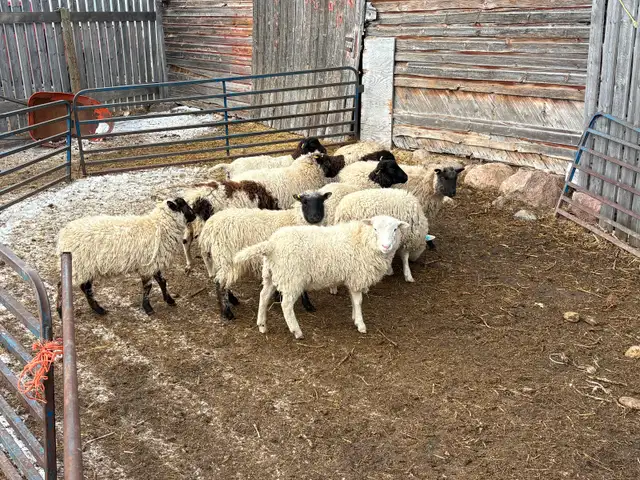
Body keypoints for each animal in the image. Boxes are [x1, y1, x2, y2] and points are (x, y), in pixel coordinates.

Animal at [55, 198, 196, 316]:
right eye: (183, 205)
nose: (194, 215)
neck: (160, 226)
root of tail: (63, 236)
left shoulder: (153, 262)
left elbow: (162, 281)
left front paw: (169, 300)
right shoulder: (147, 265)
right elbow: (148, 287)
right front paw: (148, 308)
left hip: (86, 266)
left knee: (85, 287)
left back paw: (98, 309)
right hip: (78, 264)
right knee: (63, 285)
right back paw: (61, 312)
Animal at [198, 191, 332, 321]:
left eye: (321, 201)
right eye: (304, 202)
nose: (315, 217)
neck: (294, 219)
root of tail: (208, 228)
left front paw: (278, 296)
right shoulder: (296, 259)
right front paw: (308, 305)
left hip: (221, 258)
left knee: (222, 280)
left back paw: (233, 300)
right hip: (226, 256)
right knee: (219, 283)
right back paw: (227, 312)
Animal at [234, 215, 409, 339]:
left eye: (395, 229)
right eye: (375, 229)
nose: (386, 246)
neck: (362, 240)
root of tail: (271, 244)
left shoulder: (351, 277)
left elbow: (353, 301)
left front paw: (354, 317)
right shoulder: (356, 277)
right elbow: (358, 301)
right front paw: (360, 324)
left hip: (271, 274)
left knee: (263, 297)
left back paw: (262, 325)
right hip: (292, 278)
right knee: (286, 305)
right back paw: (296, 331)